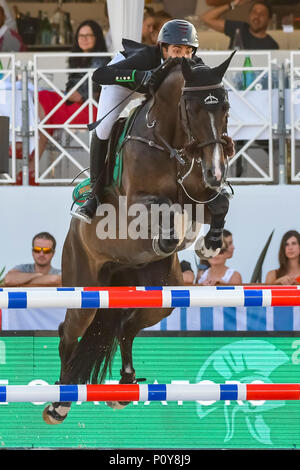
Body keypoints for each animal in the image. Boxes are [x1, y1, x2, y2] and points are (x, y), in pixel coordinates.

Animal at [42, 53, 234, 424]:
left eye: (226, 107)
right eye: (191, 108)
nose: (216, 173)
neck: (172, 143)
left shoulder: (200, 194)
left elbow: (218, 203)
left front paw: (209, 244)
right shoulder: (136, 206)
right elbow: (165, 211)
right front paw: (172, 238)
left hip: (161, 297)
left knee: (124, 326)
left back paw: (125, 385)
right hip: (85, 289)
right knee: (67, 333)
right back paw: (59, 403)